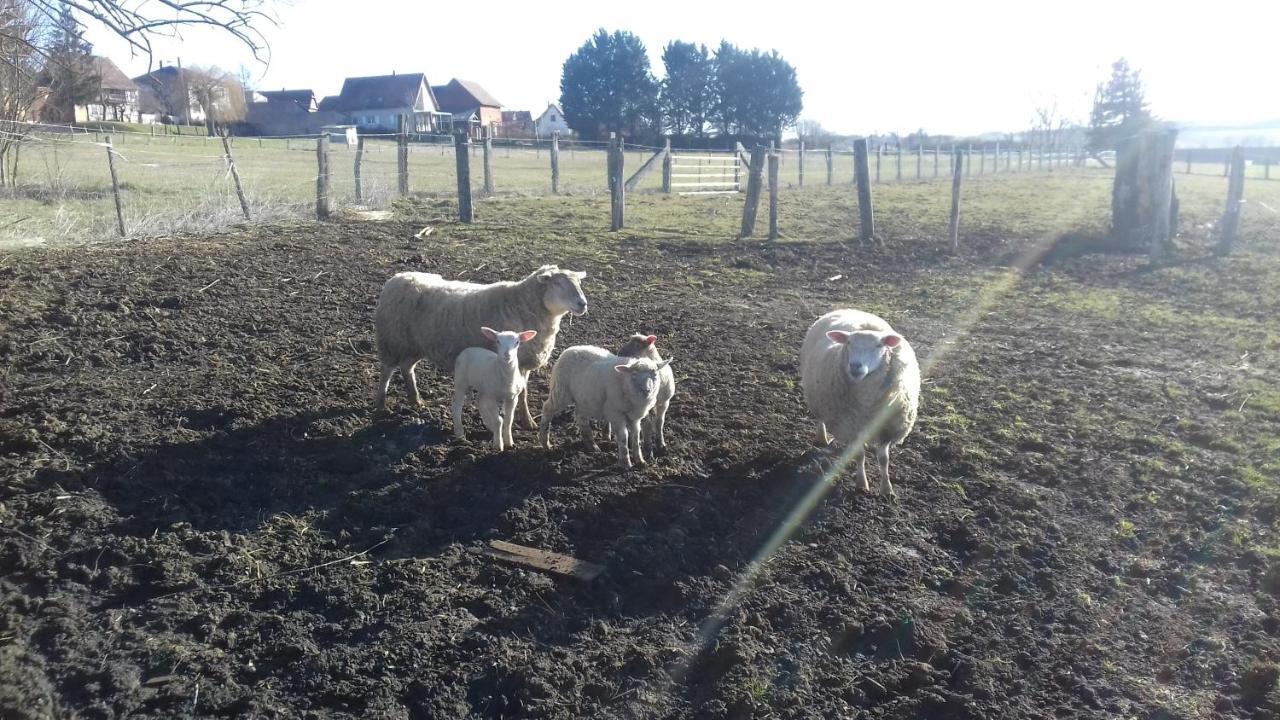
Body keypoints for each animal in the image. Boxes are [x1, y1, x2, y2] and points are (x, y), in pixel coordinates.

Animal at [373, 263, 586, 425]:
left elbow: (523, 393)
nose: (583, 303)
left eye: (578, 283)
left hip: (414, 344)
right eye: (557, 283)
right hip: (392, 340)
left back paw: (415, 400)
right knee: (386, 371)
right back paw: (381, 405)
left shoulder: (524, 362)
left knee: (406, 367)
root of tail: (398, 277)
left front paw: (527, 421)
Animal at [540, 345, 675, 468]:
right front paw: (625, 462)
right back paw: (545, 443)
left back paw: (591, 445)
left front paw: (640, 460)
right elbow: (623, 437)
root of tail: (570, 349)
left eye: (655, 374)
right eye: (634, 374)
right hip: (561, 391)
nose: (646, 390)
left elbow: (636, 437)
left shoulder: (635, 417)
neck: (625, 383)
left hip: (584, 398)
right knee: (547, 410)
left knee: (580, 417)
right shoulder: (616, 413)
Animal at [798, 304, 921, 497]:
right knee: (820, 418)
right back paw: (822, 438)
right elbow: (859, 455)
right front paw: (862, 484)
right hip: (817, 396)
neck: (867, 403)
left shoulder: (886, 429)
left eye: (879, 345)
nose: (855, 366)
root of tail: (846, 308)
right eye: (849, 343)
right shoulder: (851, 427)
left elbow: (883, 459)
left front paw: (887, 489)